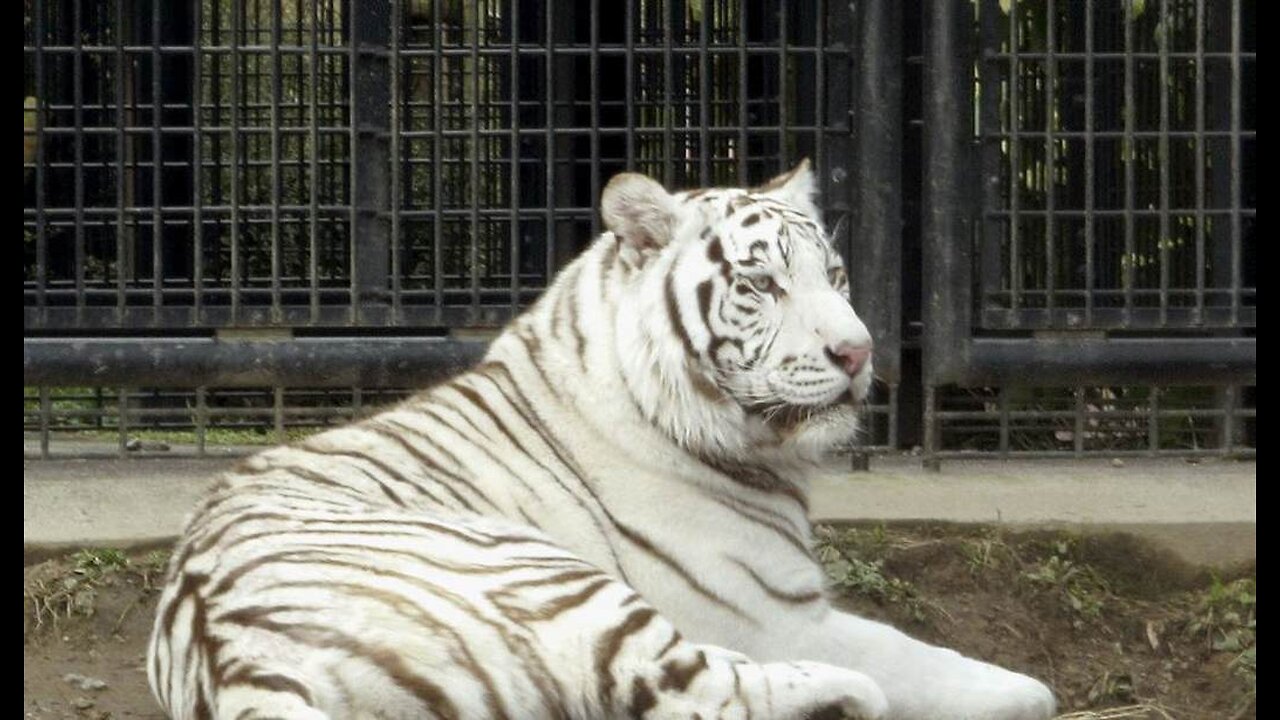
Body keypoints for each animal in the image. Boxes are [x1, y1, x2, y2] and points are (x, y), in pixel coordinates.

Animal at [147, 162, 1049, 717]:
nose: (860, 353)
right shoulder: (774, 617)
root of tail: (233, 652)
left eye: (833, 276)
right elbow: (925, 659)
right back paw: (850, 694)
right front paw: (1018, 689)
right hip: (565, 584)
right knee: (710, 693)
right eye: (761, 283)